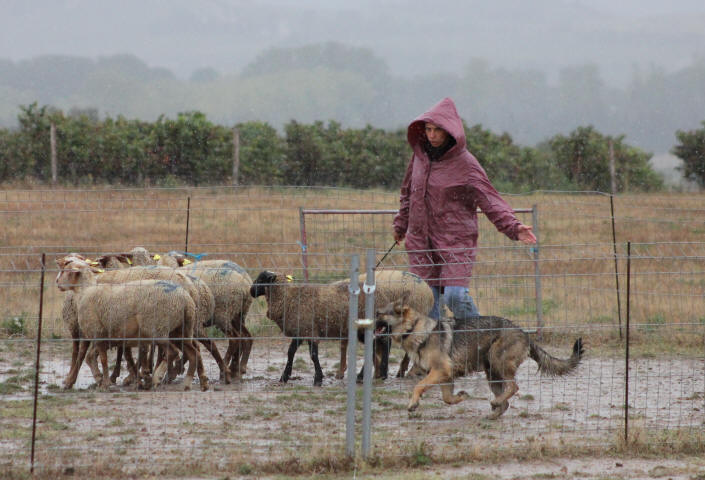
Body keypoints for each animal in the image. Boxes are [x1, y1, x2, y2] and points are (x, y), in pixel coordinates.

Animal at [56, 258, 208, 390]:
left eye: (65, 269)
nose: (57, 282)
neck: (85, 291)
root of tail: (186, 298)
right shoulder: (109, 336)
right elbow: (96, 357)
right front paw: (103, 379)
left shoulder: (96, 332)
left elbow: (102, 359)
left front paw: (105, 382)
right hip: (181, 330)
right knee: (193, 352)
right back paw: (188, 383)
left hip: (157, 329)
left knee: (172, 353)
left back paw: (158, 378)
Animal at [374, 298, 584, 418]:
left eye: (379, 314)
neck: (414, 328)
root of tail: (525, 333)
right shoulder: (446, 376)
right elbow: (447, 398)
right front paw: (461, 397)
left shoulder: (440, 370)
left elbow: (419, 385)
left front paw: (413, 404)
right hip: (492, 374)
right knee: (506, 399)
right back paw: (494, 411)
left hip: (498, 362)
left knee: (513, 387)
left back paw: (496, 404)